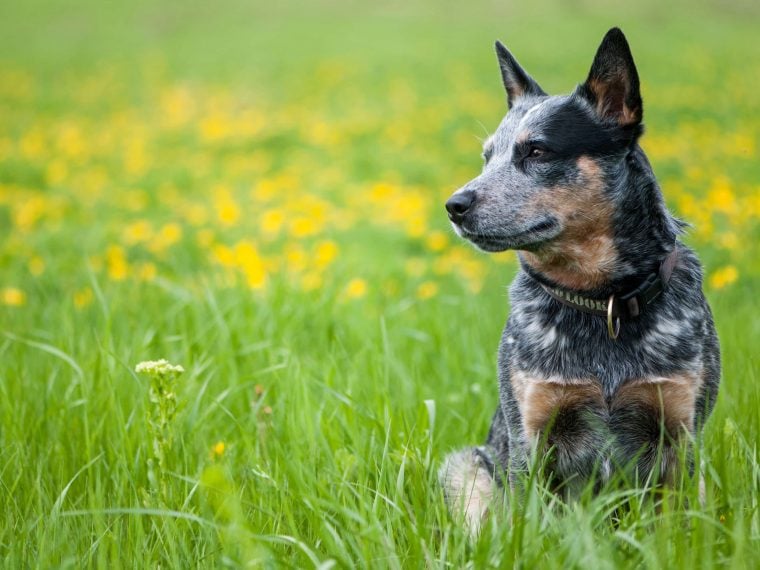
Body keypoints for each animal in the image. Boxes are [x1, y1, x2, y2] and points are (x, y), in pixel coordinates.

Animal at [440, 26, 720, 532]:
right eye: (487, 157)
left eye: (536, 150)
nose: (454, 204)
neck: (600, 300)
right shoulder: (532, 434)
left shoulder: (680, 431)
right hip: (466, 466)